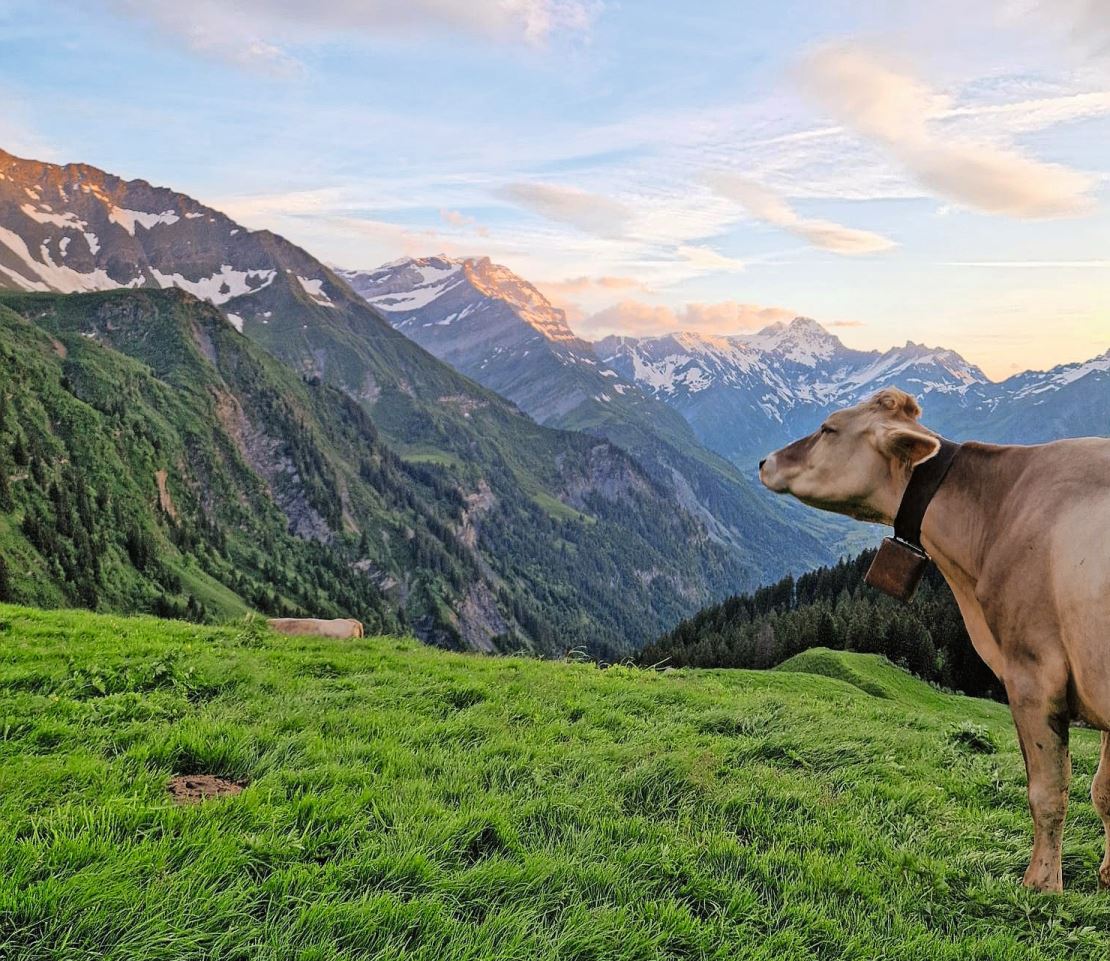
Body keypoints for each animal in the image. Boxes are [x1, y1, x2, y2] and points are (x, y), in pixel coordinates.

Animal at [759, 383, 1110, 892]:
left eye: (828, 428)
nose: (763, 461)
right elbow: (1104, 790)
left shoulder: (1033, 670)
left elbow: (1049, 792)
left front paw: (1041, 885)